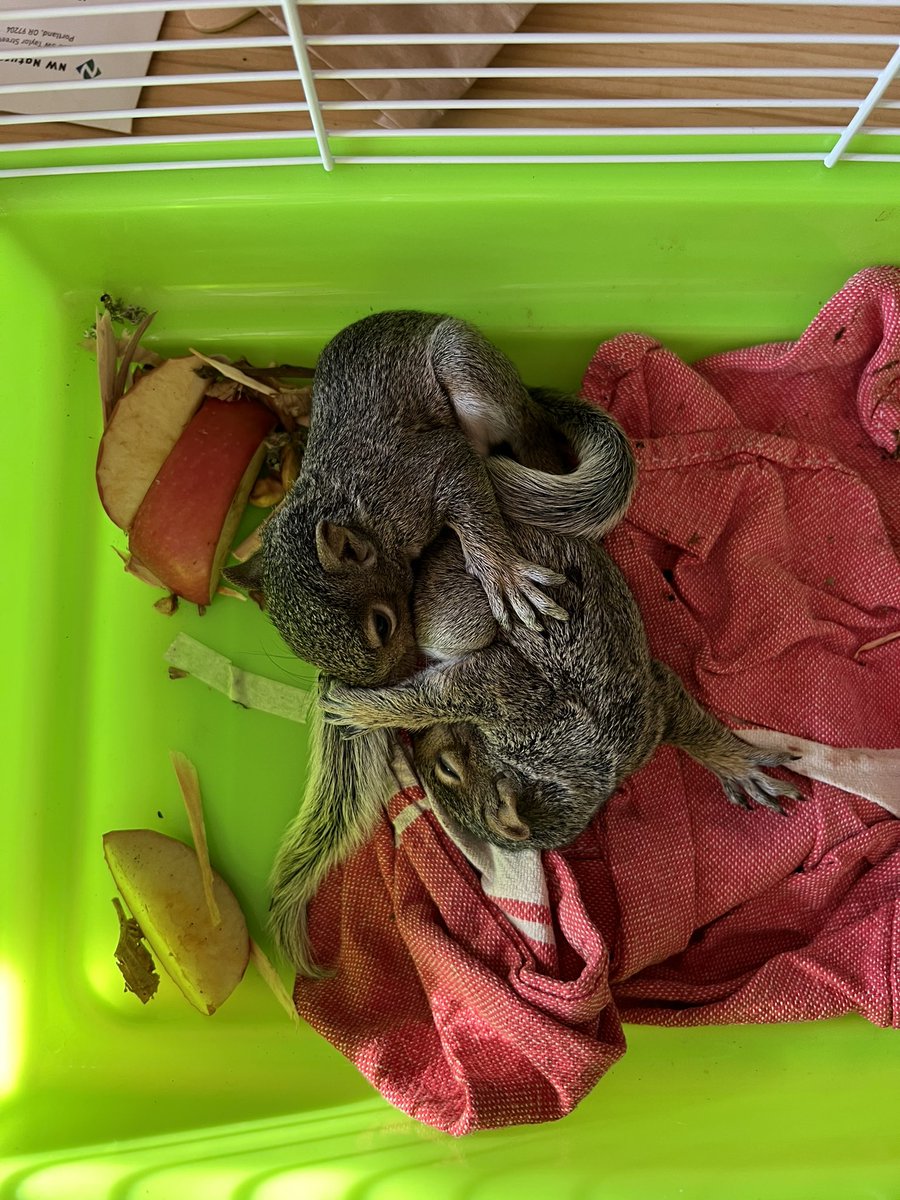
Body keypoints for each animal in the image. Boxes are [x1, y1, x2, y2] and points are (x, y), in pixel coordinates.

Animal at [223, 311, 635, 686]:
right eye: (303, 656)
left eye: (382, 624)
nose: (397, 677)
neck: (362, 515)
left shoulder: (425, 470)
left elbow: (466, 491)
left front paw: (503, 576)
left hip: (463, 363)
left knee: (531, 431)